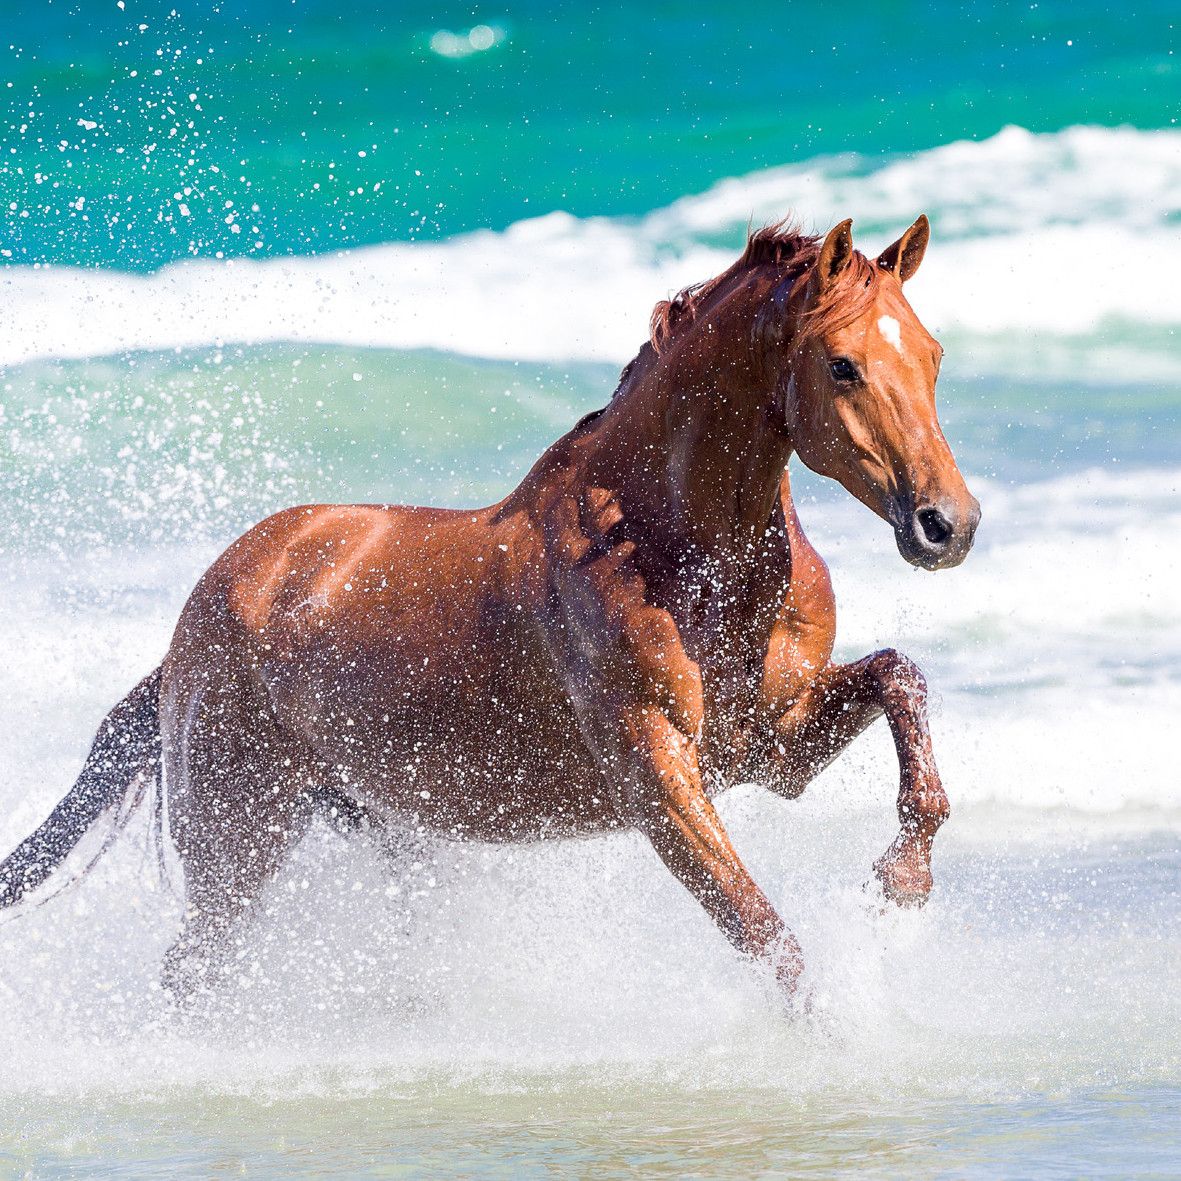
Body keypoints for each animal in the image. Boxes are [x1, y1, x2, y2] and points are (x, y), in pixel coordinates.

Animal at [0, 214, 977, 996]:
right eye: (843, 364)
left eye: (932, 355)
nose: (947, 525)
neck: (668, 550)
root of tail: (197, 618)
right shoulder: (655, 771)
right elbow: (764, 935)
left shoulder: (769, 746)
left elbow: (899, 678)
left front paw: (903, 878)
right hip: (237, 835)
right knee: (190, 970)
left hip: (384, 827)